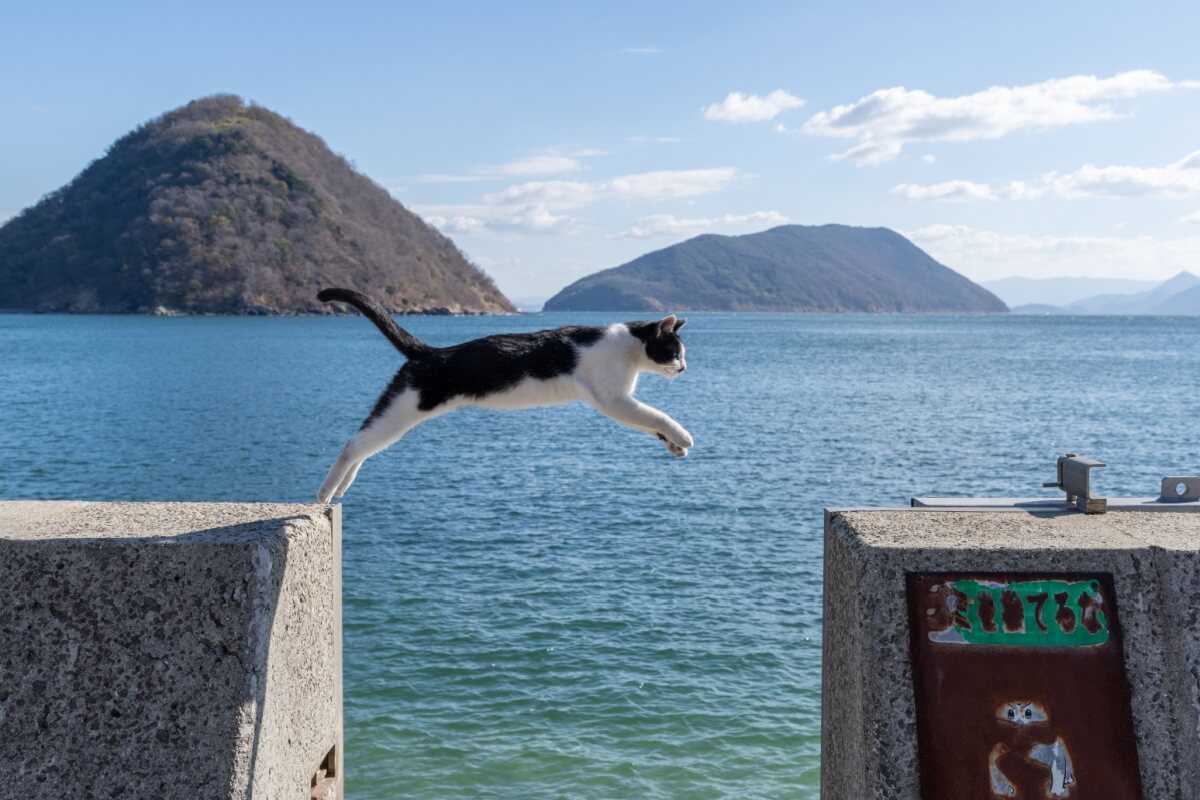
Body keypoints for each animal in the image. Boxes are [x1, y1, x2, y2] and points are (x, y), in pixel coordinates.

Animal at [316, 286, 696, 501]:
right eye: (675, 352)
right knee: (353, 444)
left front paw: (674, 446)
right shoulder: (613, 399)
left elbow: (649, 425)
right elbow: (656, 416)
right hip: (405, 408)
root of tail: (429, 352)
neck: (628, 347)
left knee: (363, 445)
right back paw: (325, 491)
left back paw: (343, 486)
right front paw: (682, 436)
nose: (684, 369)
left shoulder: (616, 403)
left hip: (396, 410)